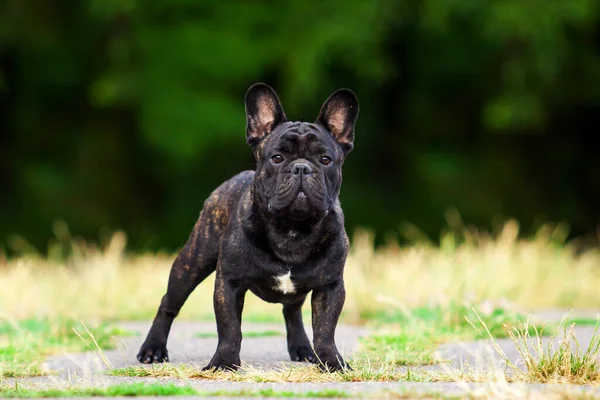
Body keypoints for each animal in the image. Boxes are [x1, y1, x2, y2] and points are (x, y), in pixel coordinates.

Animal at [138, 82, 358, 372]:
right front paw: (223, 362)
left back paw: (302, 349)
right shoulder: (229, 283)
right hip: (192, 262)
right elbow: (230, 328)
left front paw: (331, 361)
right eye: (277, 158)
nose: (301, 168)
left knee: (291, 310)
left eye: (325, 160)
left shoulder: (330, 286)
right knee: (169, 304)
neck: (292, 228)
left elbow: (325, 329)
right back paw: (152, 349)